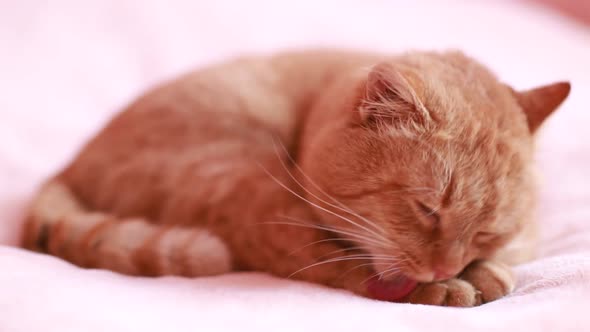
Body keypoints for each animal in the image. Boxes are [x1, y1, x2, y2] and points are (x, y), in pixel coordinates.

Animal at [20, 49, 572, 306]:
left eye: (487, 230)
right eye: (426, 209)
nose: (444, 267)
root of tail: (70, 165)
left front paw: (478, 270)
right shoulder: (266, 214)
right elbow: (344, 263)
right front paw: (449, 286)